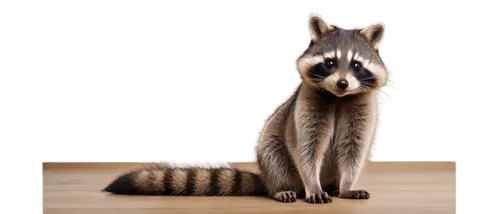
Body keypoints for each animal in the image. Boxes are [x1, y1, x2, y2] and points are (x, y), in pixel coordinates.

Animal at [103, 11, 396, 204]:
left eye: (356, 65)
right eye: (331, 63)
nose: (343, 82)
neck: (337, 96)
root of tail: (265, 180)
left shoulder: (360, 107)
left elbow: (353, 149)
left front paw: (347, 185)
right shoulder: (307, 103)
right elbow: (304, 146)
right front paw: (313, 185)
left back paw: (334, 187)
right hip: (271, 153)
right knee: (275, 153)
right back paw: (283, 188)